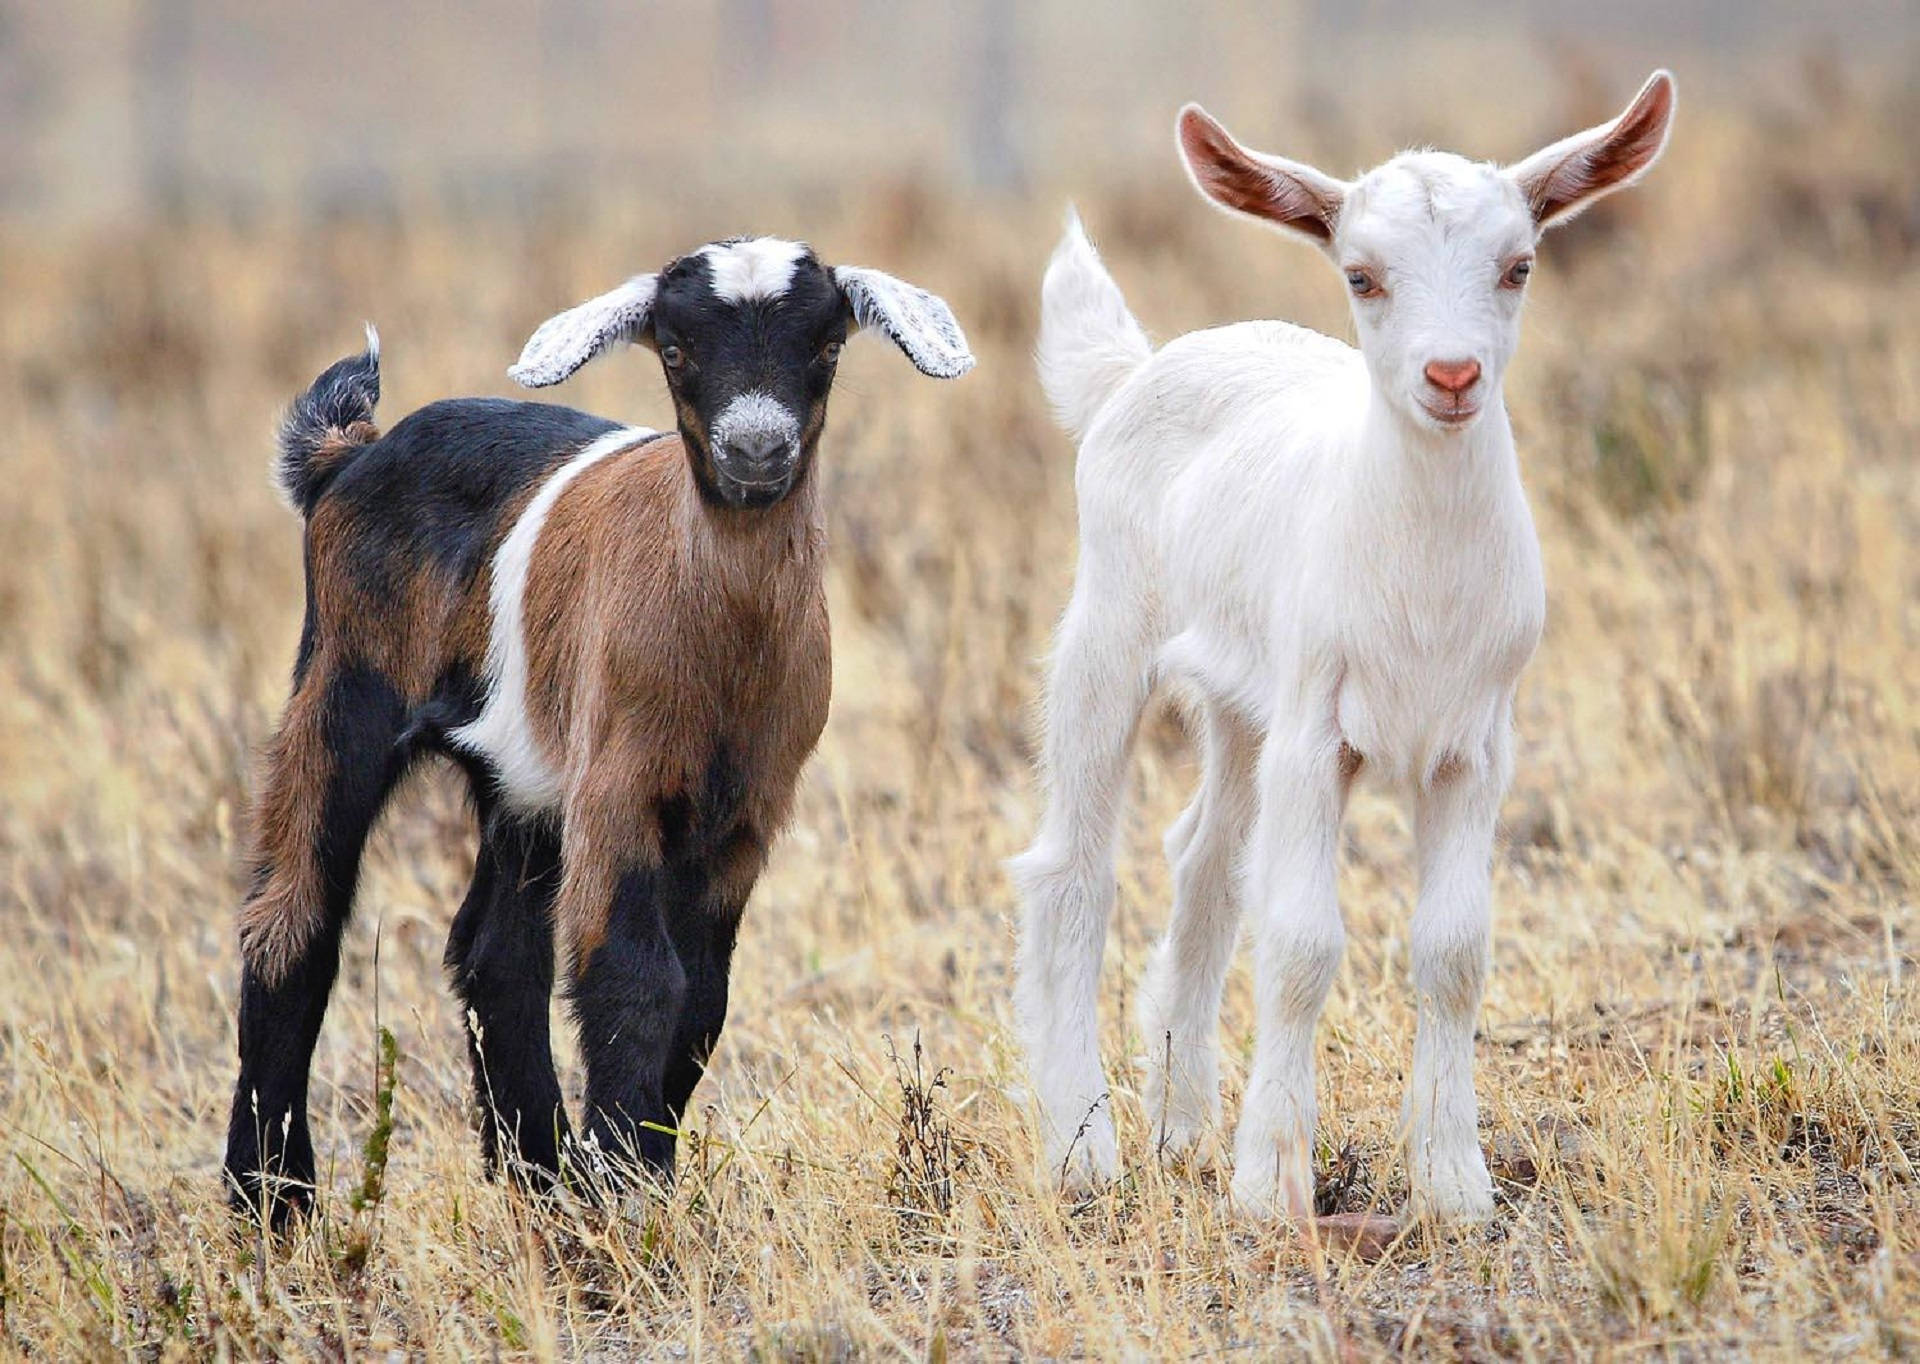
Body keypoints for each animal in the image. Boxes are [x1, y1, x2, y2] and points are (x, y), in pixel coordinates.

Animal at [225, 237, 973, 1223]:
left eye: (826, 347)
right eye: (676, 350)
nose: (756, 449)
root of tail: (349, 458)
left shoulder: (746, 812)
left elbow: (702, 999)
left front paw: (625, 1171)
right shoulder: (618, 785)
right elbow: (634, 977)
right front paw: (628, 1189)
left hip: (524, 778)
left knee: (495, 955)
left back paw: (537, 1174)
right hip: (342, 687)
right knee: (291, 923)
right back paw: (272, 1201)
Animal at [1012, 73, 1675, 1223]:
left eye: (1519, 265)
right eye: (1362, 276)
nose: (1450, 374)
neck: (1421, 581)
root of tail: (1133, 371)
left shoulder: (1473, 746)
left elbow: (1454, 950)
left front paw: (1453, 1181)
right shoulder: (1319, 733)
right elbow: (1302, 943)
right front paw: (1272, 1184)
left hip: (1243, 703)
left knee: (1203, 862)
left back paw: (1180, 1126)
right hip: (1108, 630)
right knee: (1073, 874)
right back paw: (1083, 1149)